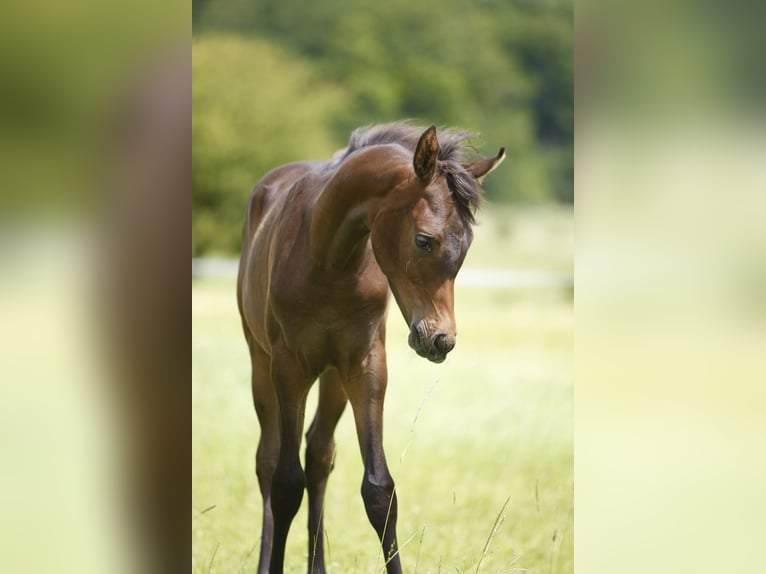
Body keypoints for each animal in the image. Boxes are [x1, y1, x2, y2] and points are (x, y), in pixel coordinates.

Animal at [237, 122, 508, 574]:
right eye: (424, 240)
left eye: (467, 245)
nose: (441, 339)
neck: (328, 261)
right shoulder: (289, 367)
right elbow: (285, 482)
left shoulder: (365, 365)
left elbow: (379, 489)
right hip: (261, 362)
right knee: (268, 459)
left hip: (332, 376)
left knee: (319, 455)